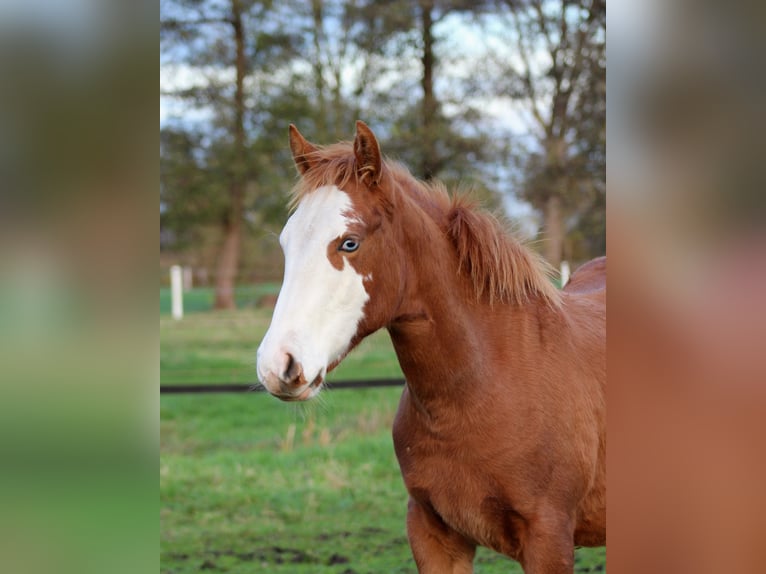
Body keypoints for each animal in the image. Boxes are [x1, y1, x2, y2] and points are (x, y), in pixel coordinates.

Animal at [256, 121, 606, 573]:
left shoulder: (549, 541)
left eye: (349, 243)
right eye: (286, 243)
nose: (277, 364)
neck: (483, 387)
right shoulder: (433, 533)